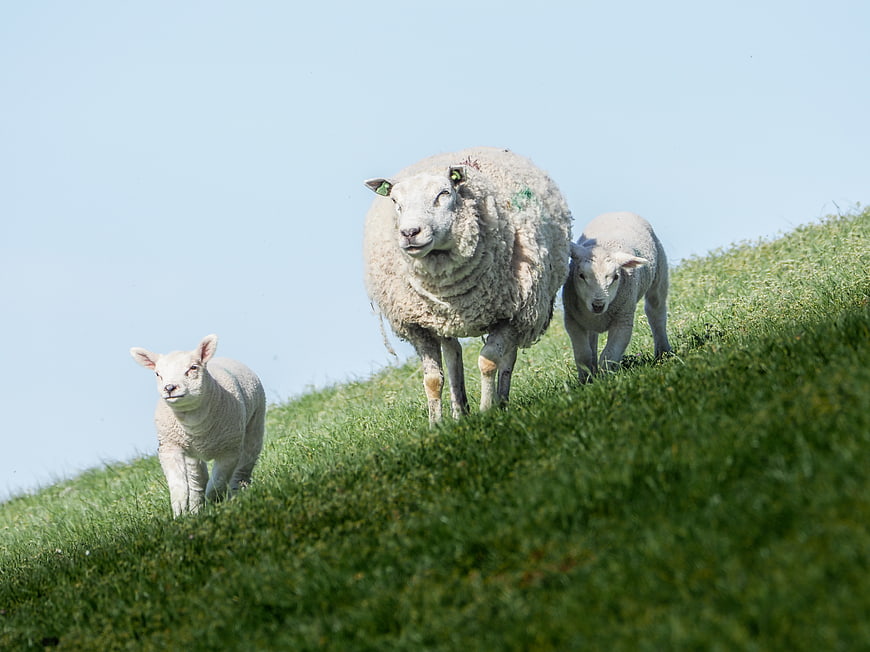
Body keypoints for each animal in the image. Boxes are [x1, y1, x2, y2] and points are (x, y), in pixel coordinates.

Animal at [130, 334, 265, 516]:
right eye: (158, 374)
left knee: (242, 470)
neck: (195, 425)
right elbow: (179, 486)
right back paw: (196, 510)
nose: (169, 388)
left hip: (254, 427)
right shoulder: (169, 447)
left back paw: (237, 496)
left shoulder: (229, 451)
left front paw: (215, 505)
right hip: (191, 454)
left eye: (193, 367)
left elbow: (217, 485)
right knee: (197, 482)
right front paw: (180, 511)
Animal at [363, 146, 572, 425]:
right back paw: (460, 410)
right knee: (454, 354)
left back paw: (501, 402)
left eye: (443, 193)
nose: (409, 233)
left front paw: (486, 410)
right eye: (396, 202)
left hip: (522, 313)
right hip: (441, 320)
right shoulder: (418, 325)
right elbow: (432, 379)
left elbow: (488, 362)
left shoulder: (511, 313)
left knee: (508, 357)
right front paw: (435, 425)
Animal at [562, 211, 672, 382]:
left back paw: (663, 352)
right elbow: (583, 356)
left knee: (656, 312)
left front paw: (607, 379)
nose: (598, 305)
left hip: (659, 274)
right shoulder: (572, 321)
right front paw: (586, 380)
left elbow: (609, 355)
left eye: (615, 277)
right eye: (581, 275)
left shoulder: (623, 320)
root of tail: (617, 212)